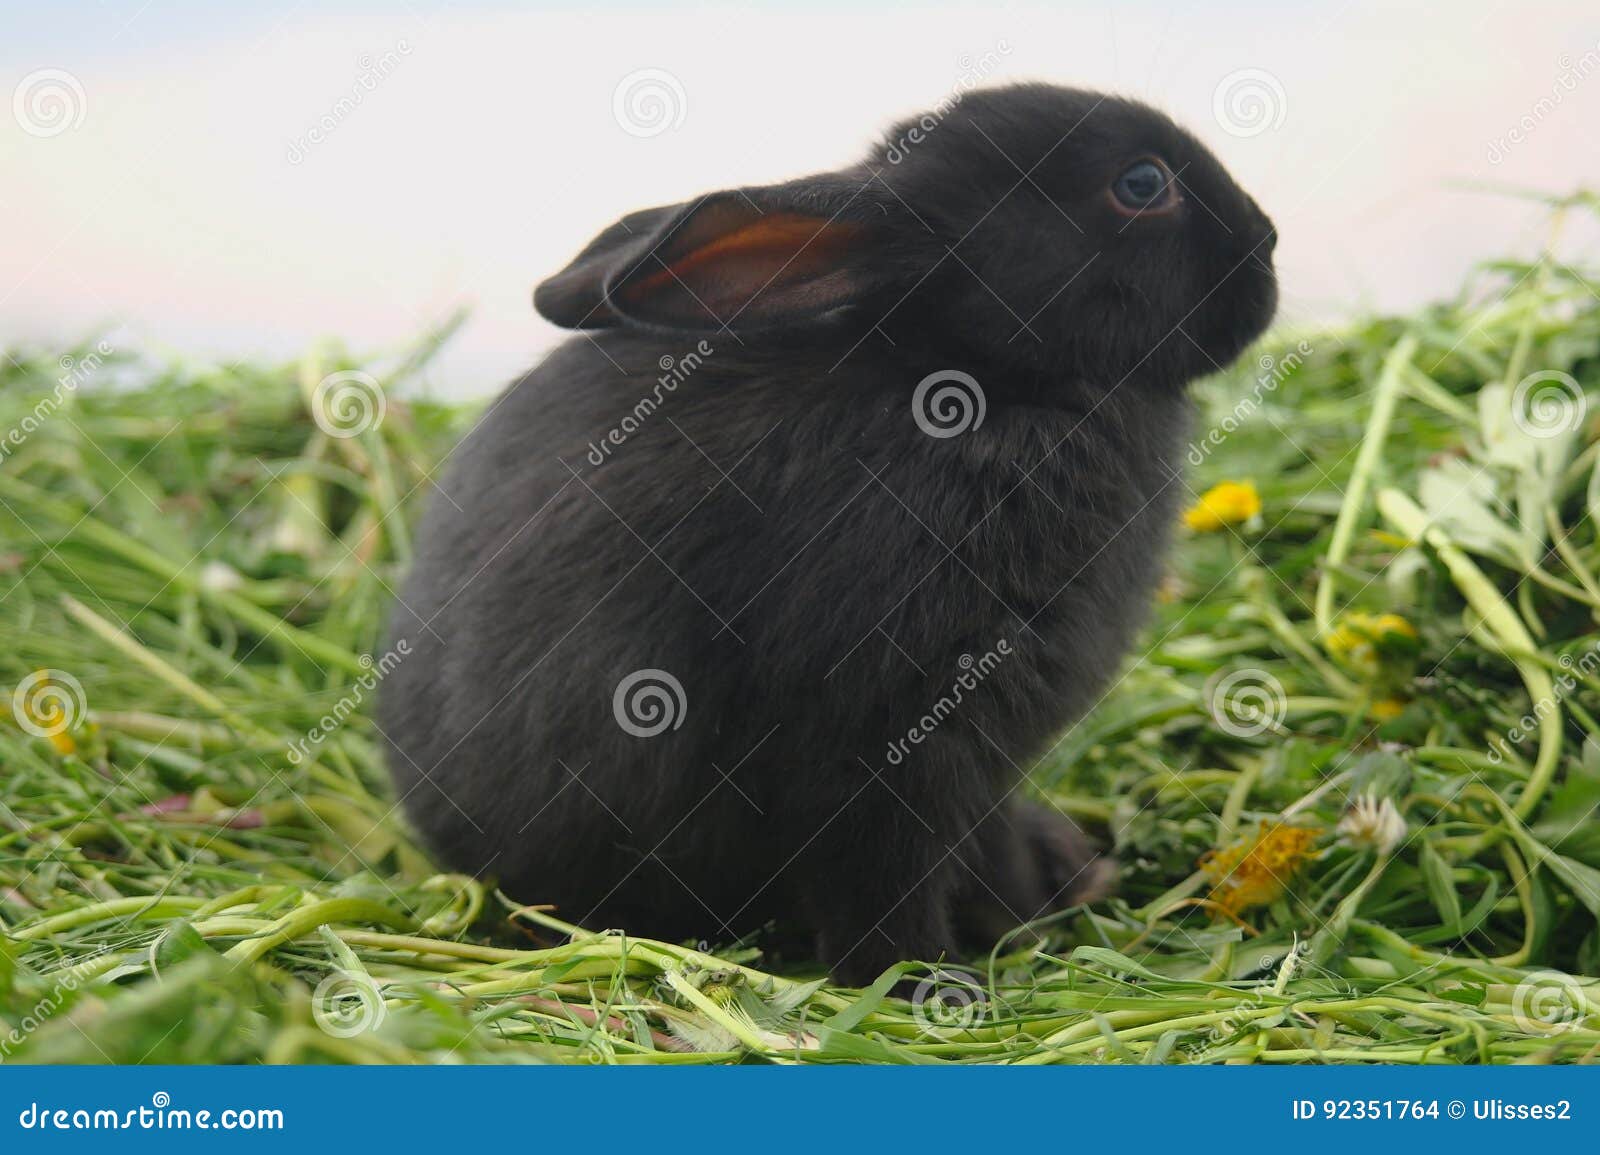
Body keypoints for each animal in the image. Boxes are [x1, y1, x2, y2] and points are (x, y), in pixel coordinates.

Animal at [377, 83, 1273, 979]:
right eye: (1141, 184)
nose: (1267, 244)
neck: (985, 386)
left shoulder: (978, 764)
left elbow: (982, 845)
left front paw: (1026, 918)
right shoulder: (876, 743)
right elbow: (879, 874)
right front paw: (925, 981)